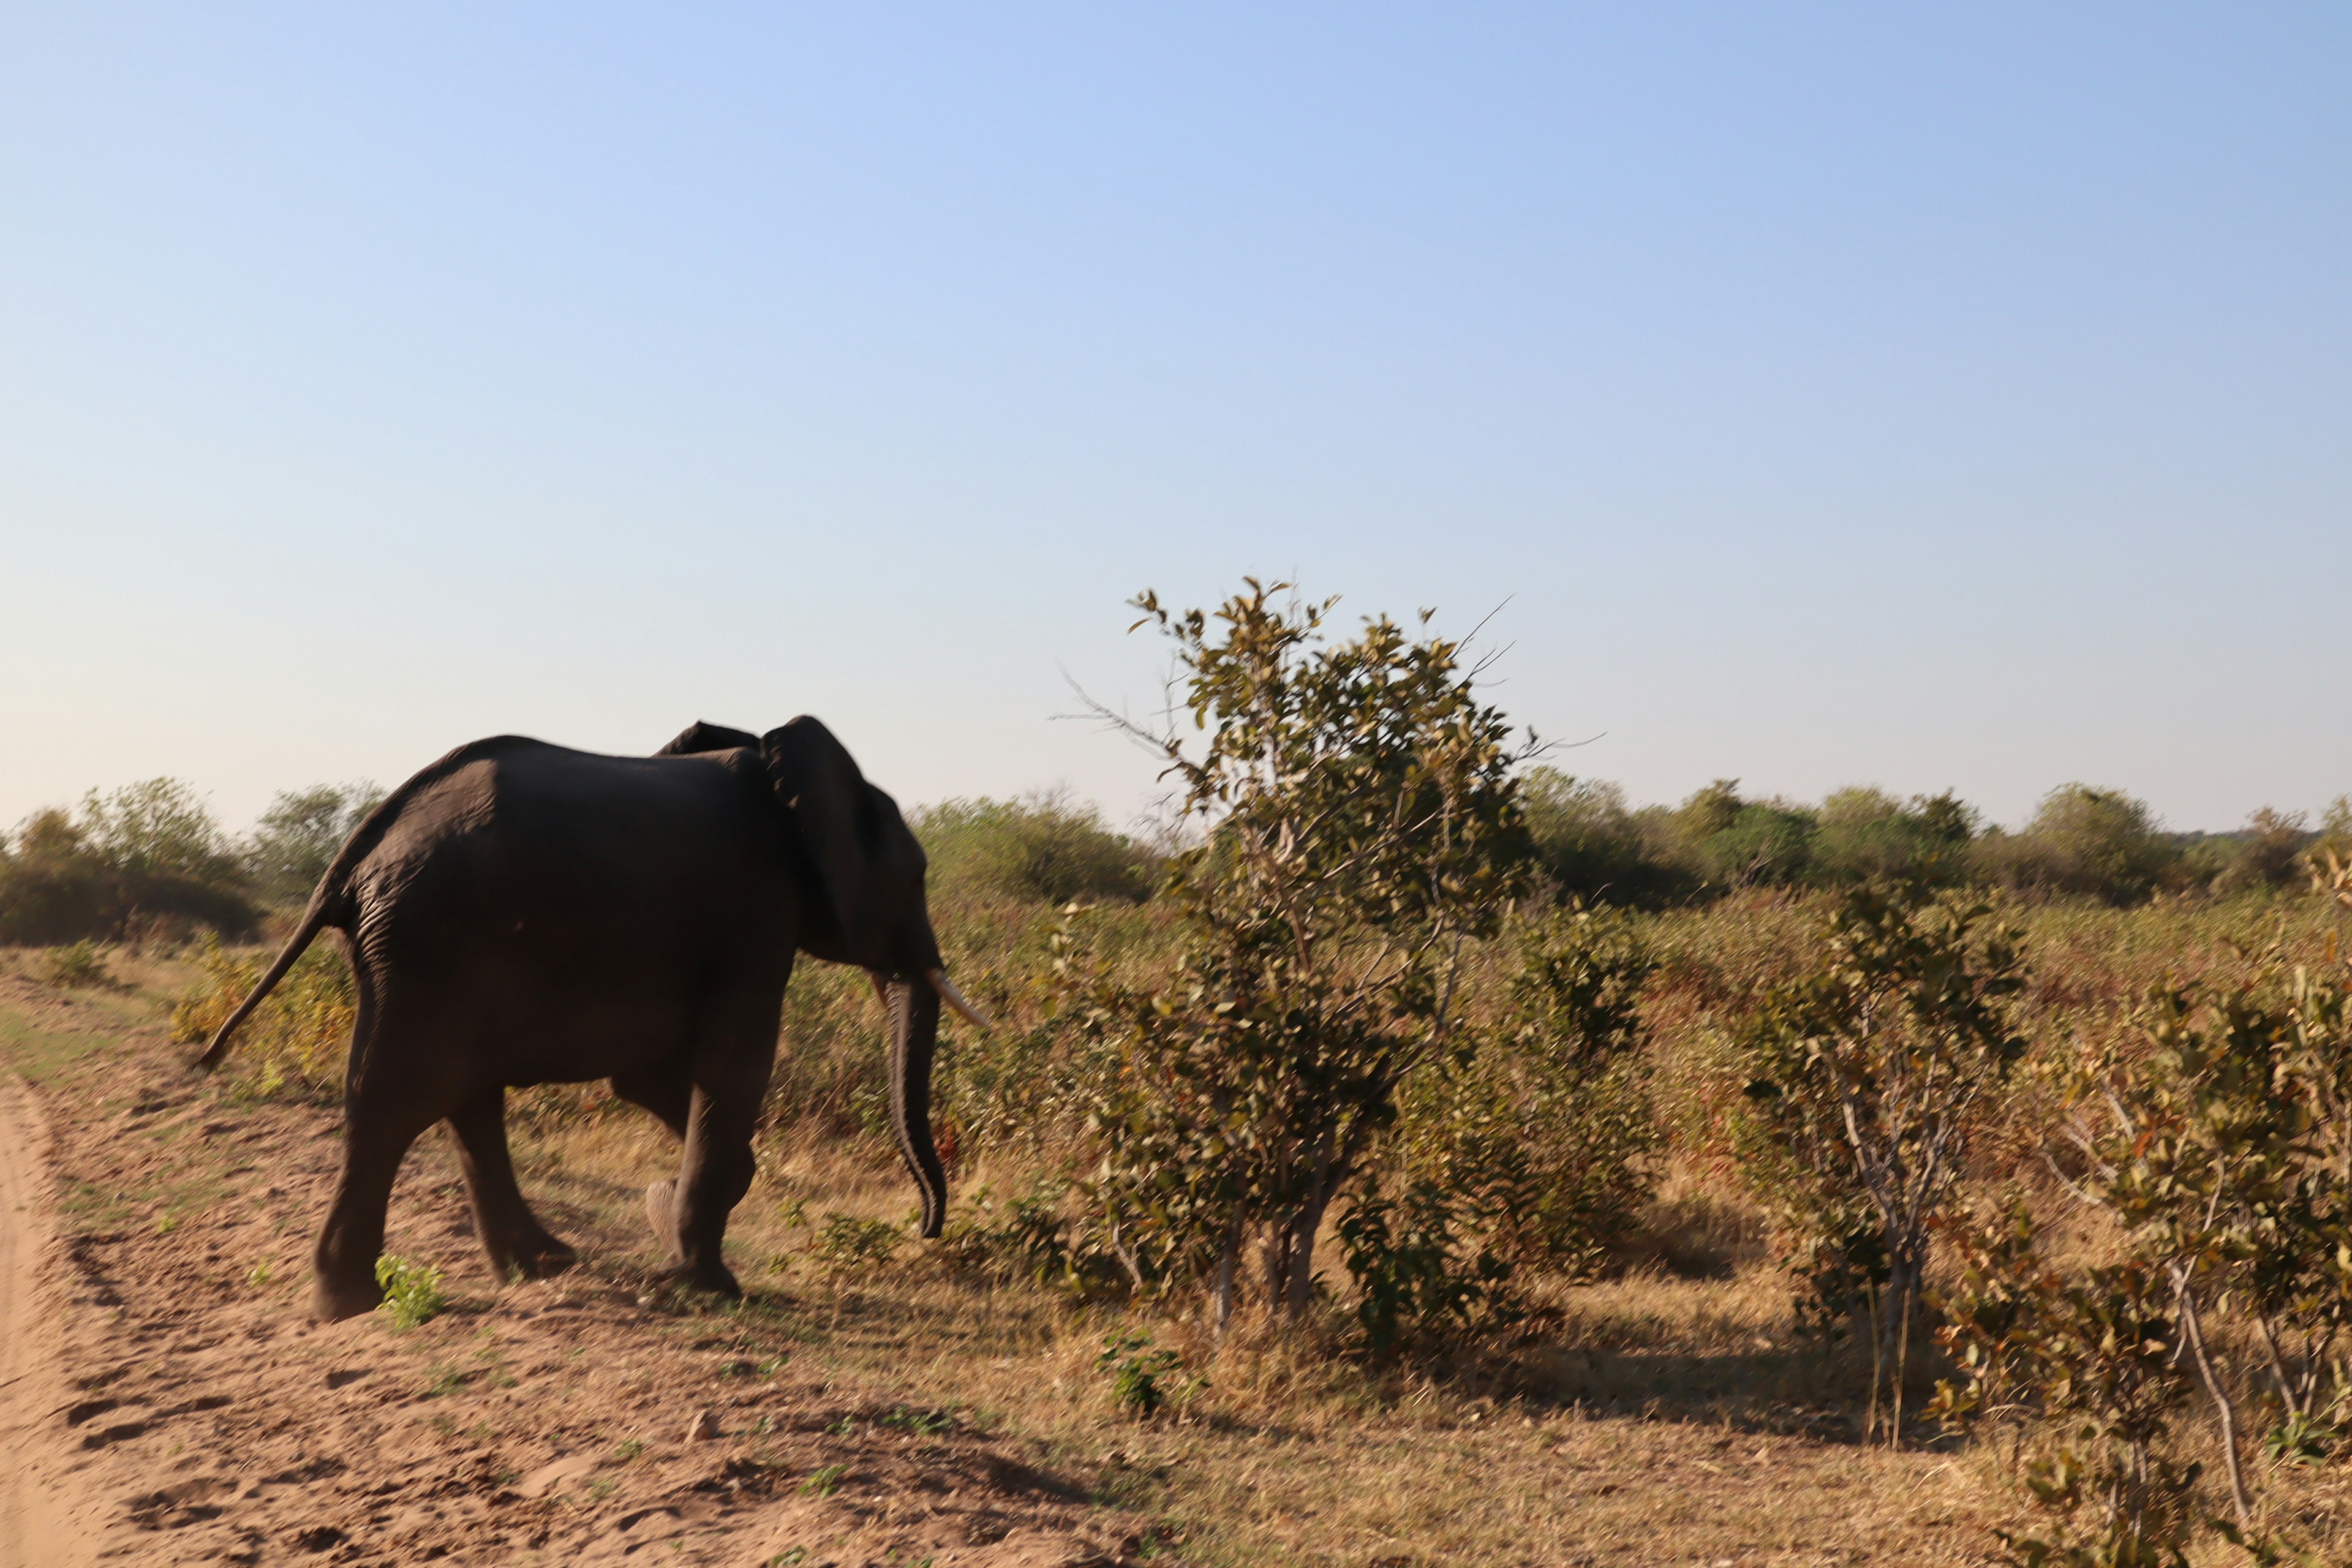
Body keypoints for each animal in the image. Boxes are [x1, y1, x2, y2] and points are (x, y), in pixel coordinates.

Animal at [190, 724, 983, 1325]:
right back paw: (355, 1303)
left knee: (458, 1097)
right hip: (432, 933)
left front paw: (674, 1219)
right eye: (916, 877)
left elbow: (648, 1076)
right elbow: (734, 1062)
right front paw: (705, 1282)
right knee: (401, 1099)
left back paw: (537, 1267)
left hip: (415, 948)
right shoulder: (756, 907)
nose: (926, 1226)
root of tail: (353, 855)